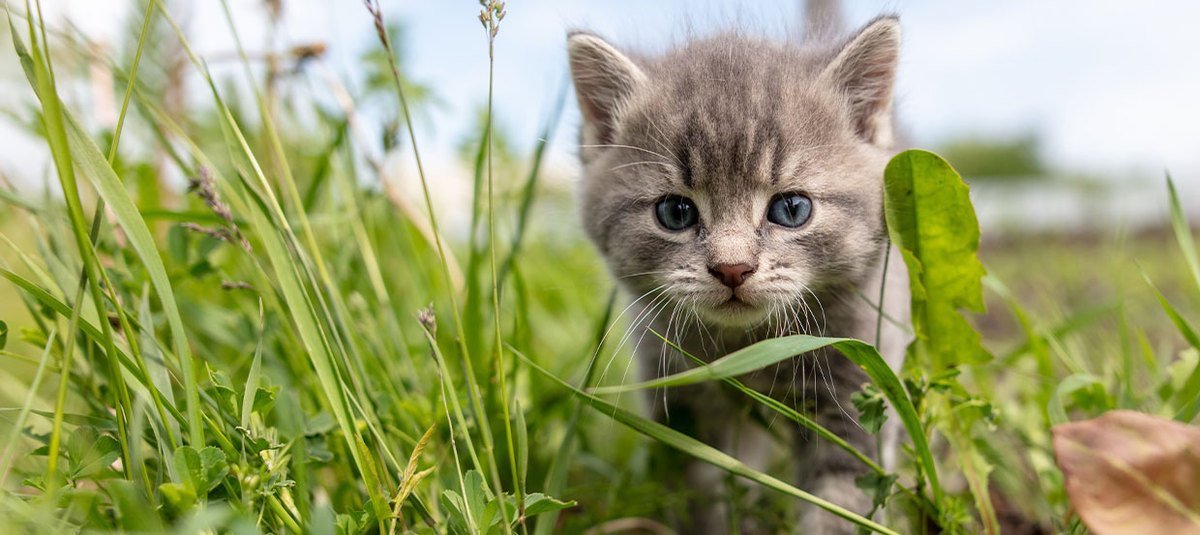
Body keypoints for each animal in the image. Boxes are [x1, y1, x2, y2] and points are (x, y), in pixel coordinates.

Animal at [568, 16, 907, 535]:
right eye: (675, 212)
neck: (749, 350)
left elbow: (841, 501)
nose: (732, 267)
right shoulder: (682, 402)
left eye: (791, 209)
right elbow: (709, 490)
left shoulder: (855, 390)